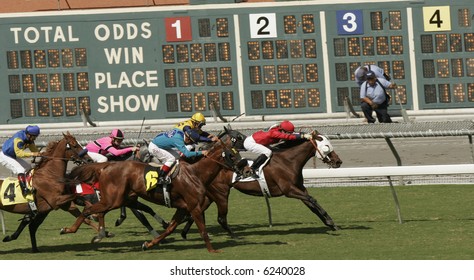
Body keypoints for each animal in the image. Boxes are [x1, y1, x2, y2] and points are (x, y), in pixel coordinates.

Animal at [59, 137, 248, 253]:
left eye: (238, 152)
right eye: (231, 155)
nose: (247, 169)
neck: (196, 174)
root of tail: (106, 166)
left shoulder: (182, 208)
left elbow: (170, 228)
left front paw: (149, 243)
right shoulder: (194, 207)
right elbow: (202, 230)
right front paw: (212, 250)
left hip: (119, 199)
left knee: (96, 211)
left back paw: (96, 233)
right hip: (113, 200)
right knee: (90, 210)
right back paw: (70, 229)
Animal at [181, 127, 340, 238]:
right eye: (327, 147)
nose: (338, 161)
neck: (288, 161)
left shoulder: (299, 188)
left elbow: (311, 204)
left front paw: (330, 223)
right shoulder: (289, 190)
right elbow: (312, 199)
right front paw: (330, 222)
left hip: (210, 195)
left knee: (195, 213)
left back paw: (185, 233)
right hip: (221, 193)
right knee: (219, 217)